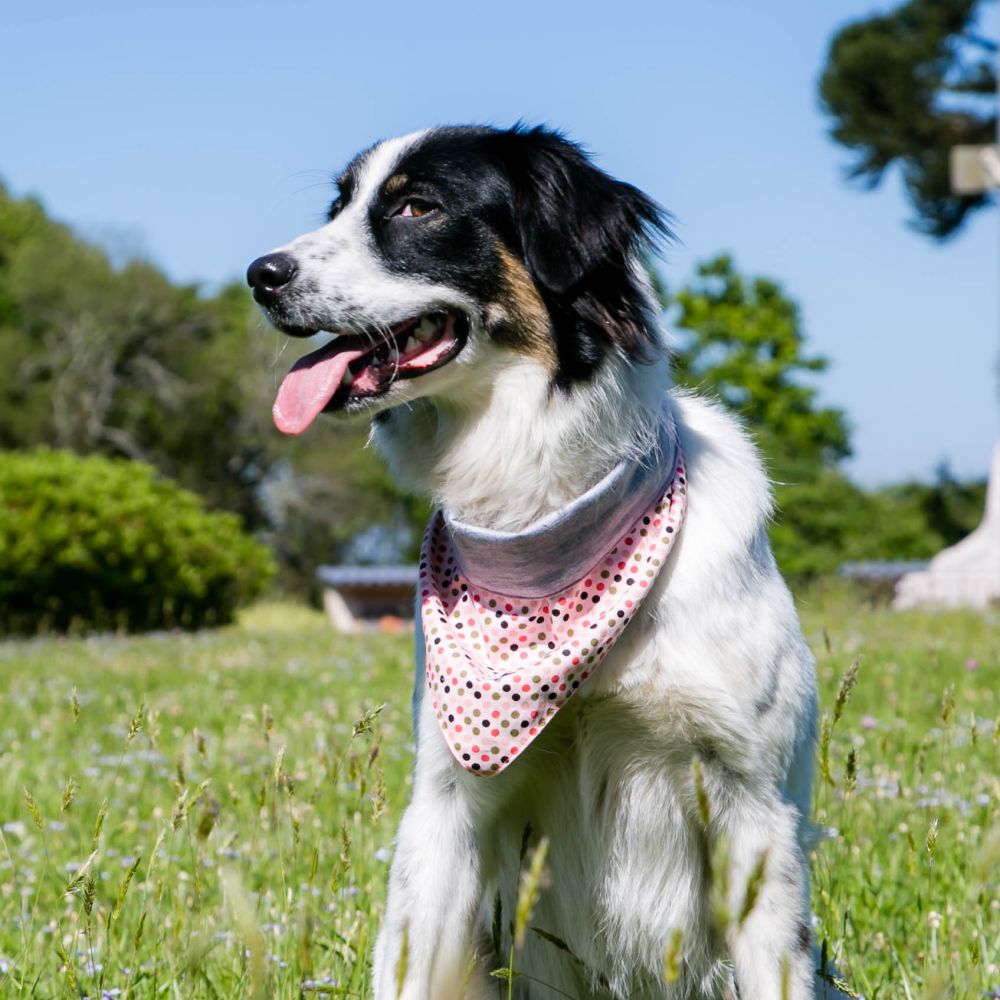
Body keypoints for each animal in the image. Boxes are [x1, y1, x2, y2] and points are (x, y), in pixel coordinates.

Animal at [252, 125, 836, 1000]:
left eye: (417, 208)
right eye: (338, 206)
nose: (259, 275)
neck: (538, 527)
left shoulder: (753, 809)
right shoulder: (446, 805)